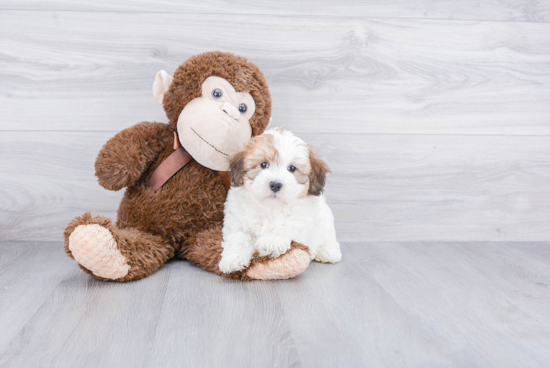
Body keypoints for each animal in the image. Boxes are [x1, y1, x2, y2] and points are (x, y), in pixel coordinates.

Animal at [219, 127, 340, 274]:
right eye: (264, 164)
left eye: (292, 168)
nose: (275, 184)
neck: (271, 208)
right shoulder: (237, 220)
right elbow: (239, 237)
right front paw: (233, 259)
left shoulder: (302, 219)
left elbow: (286, 225)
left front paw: (271, 242)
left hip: (326, 221)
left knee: (328, 237)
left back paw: (328, 251)